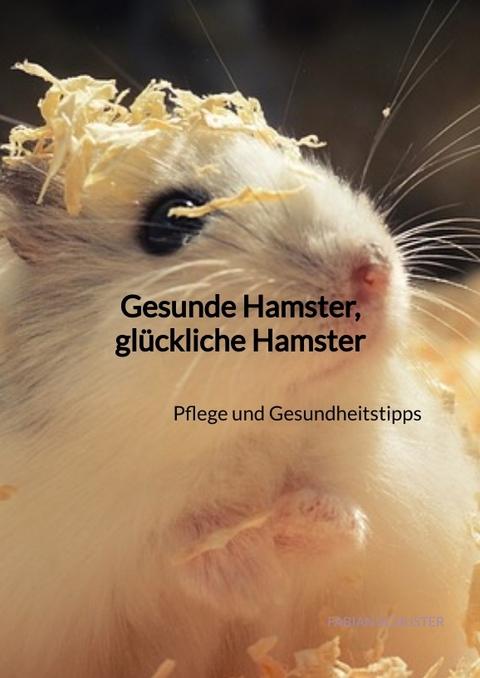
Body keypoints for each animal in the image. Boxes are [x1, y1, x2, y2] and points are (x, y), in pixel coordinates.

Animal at [0, 66, 477, 678]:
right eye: (169, 221)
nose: (373, 271)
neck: (251, 432)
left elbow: (345, 516)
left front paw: (301, 523)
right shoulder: (101, 535)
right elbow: (178, 545)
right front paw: (249, 572)